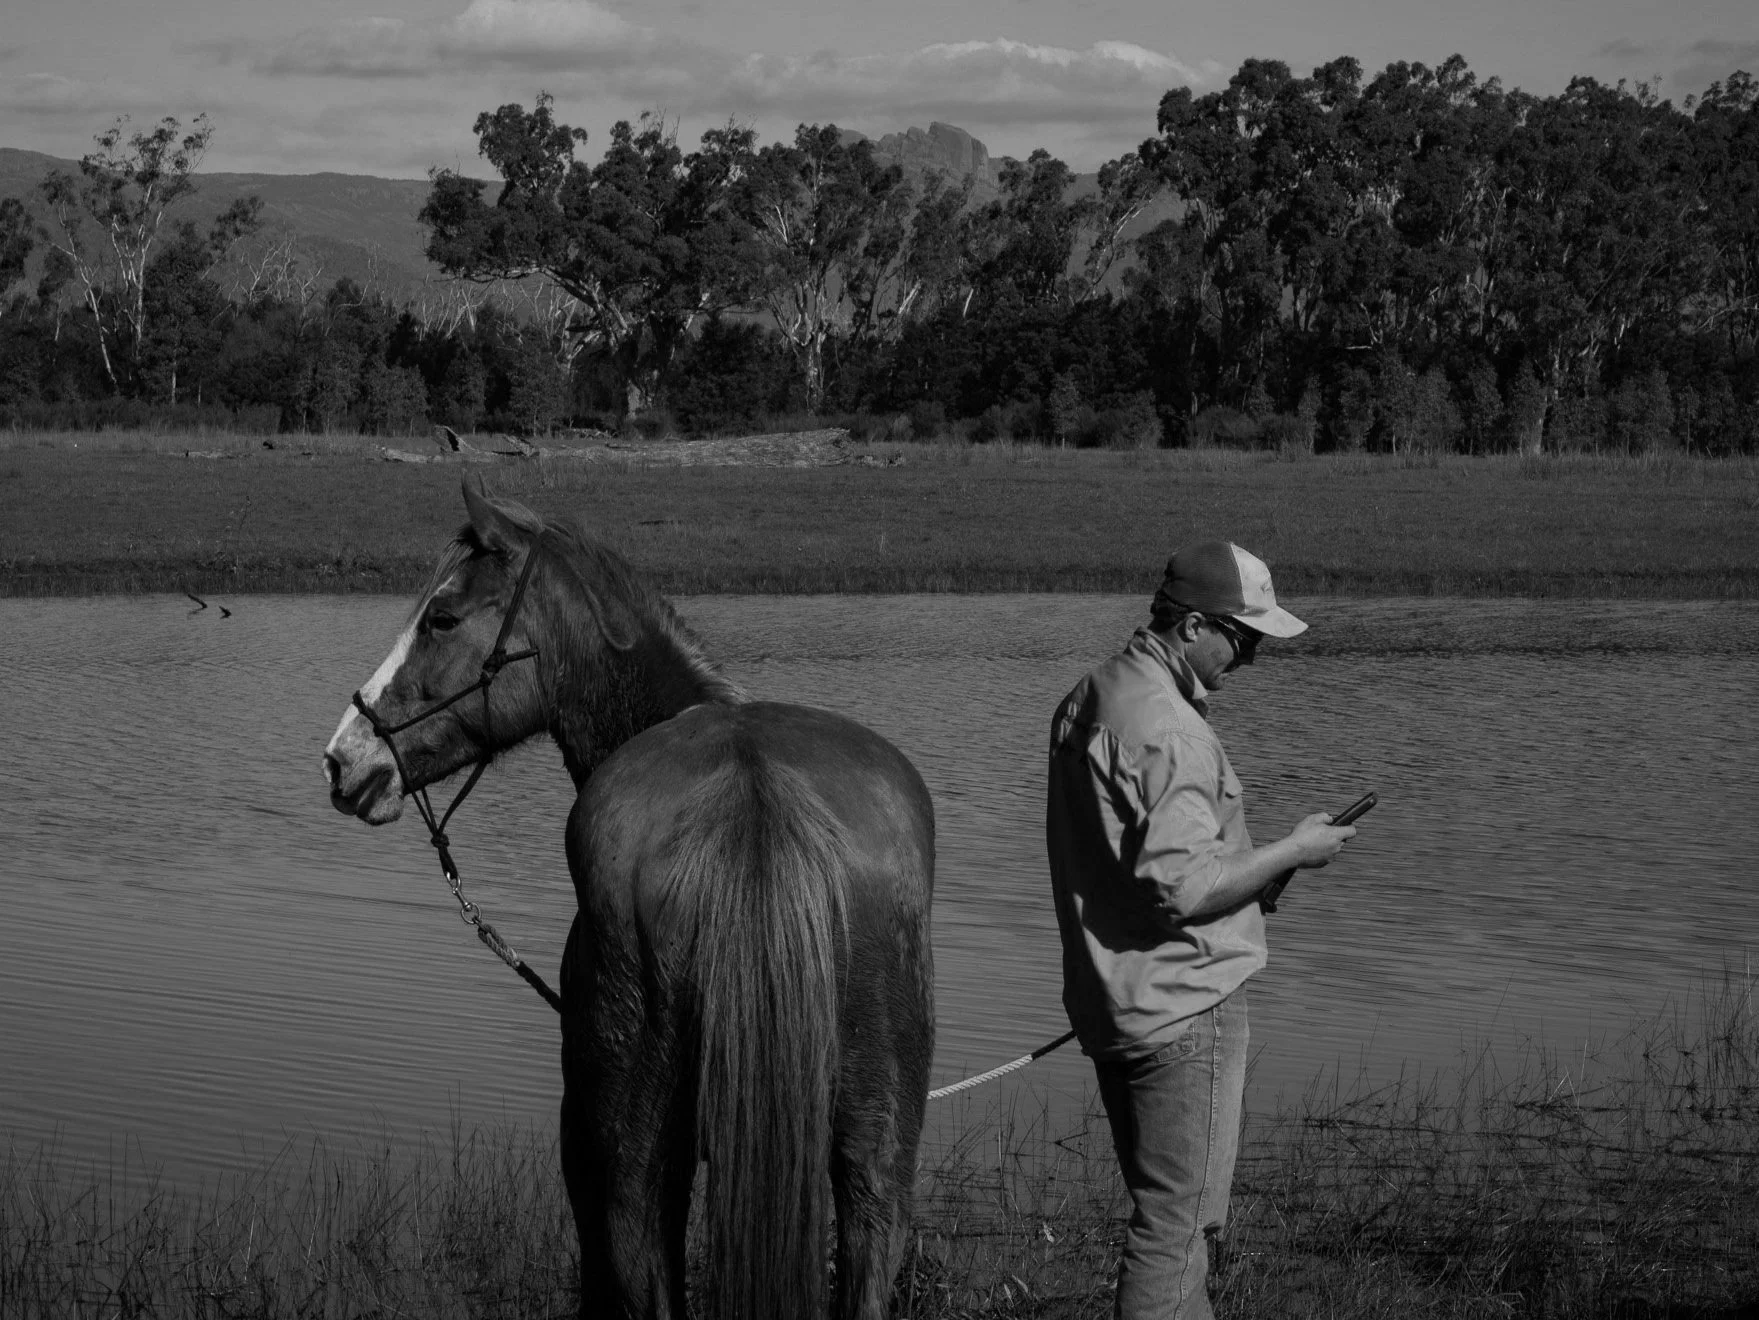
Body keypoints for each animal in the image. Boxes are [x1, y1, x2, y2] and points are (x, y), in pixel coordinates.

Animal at [322, 477, 936, 1320]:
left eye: (441, 618)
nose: (342, 760)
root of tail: (751, 789)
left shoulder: (581, 1136)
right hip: (878, 1152)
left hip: (630, 1151)